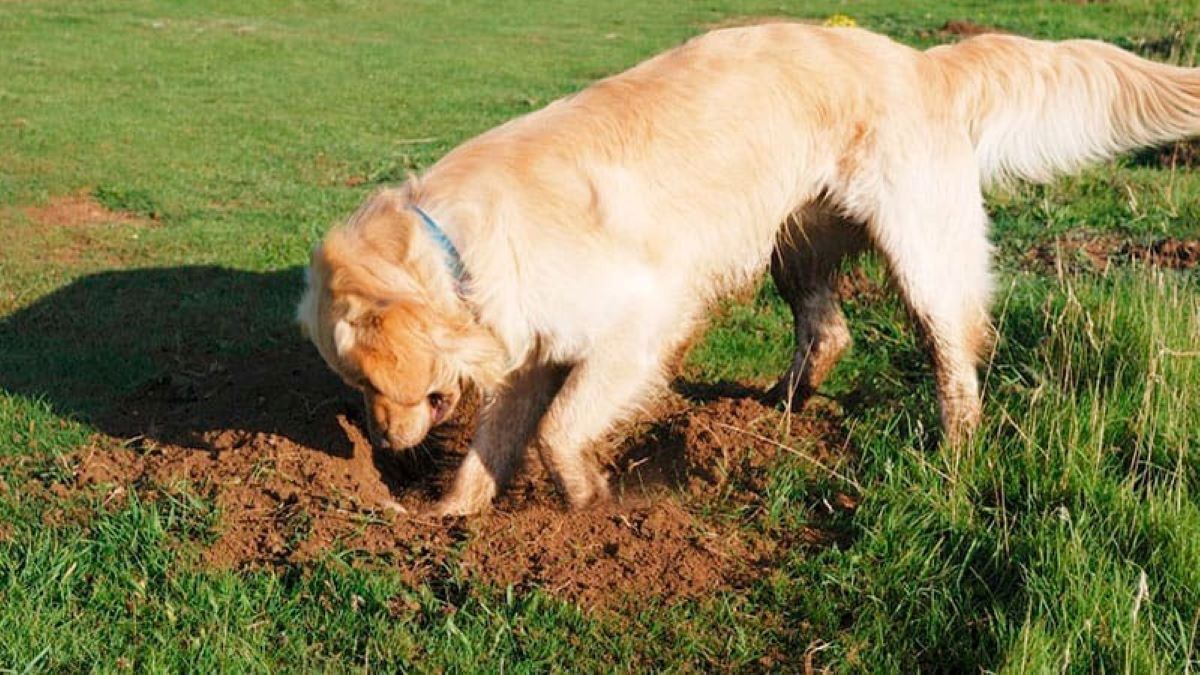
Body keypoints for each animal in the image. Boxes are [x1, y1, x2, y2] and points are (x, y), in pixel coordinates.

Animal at [295, 22, 1195, 514]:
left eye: (371, 382)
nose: (382, 444)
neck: (456, 248)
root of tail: (919, 61)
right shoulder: (529, 351)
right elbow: (497, 440)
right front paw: (448, 514)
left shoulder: (642, 320)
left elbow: (557, 431)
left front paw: (588, 500)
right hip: (793, 245)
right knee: (829, 333)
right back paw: (774, 413)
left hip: (921, 251)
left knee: (955, 353)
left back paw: (954, 450)